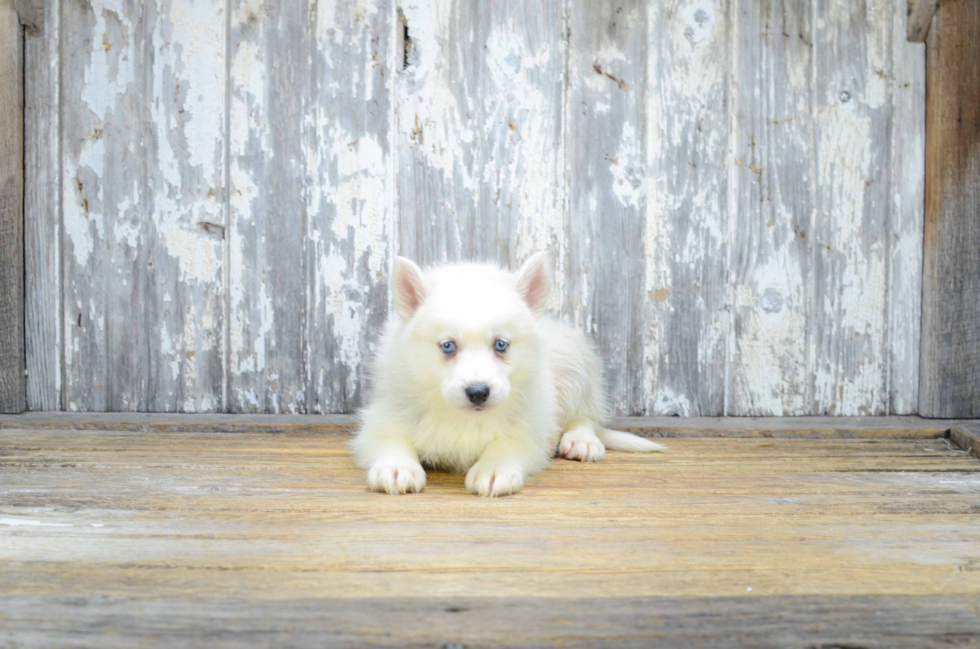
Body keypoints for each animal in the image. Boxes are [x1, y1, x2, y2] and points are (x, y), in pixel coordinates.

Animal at [352, 253, 668, 496]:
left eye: (501, 344)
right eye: (448, 345)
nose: (478, 393)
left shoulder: (532, 421)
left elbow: (508, 443)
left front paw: (493, 470)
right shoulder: (384, 413)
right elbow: (389, 438)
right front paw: (396, 467)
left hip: (574, 363)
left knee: (585, 415)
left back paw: (582, 440)